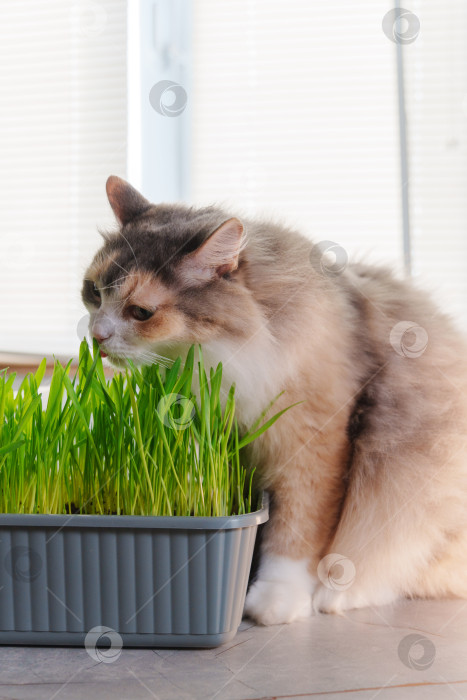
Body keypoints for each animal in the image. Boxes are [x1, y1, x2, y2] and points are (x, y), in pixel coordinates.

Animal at [81, 178, 467, 628]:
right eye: (94, 292)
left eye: (141, 312)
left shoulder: (313, 442)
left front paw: (276, 600)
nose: (97, 337)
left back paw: (340, 595)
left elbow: (298, 530)